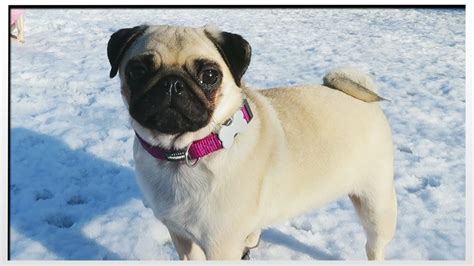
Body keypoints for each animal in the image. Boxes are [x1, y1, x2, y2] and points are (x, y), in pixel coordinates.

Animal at [106, 23, 396, 260]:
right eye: (137, 71)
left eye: (209, 76)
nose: (172, 84)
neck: (184, 153)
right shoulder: (181, 237)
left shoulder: (220, 246)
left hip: (376, 204)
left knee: (375, 245)